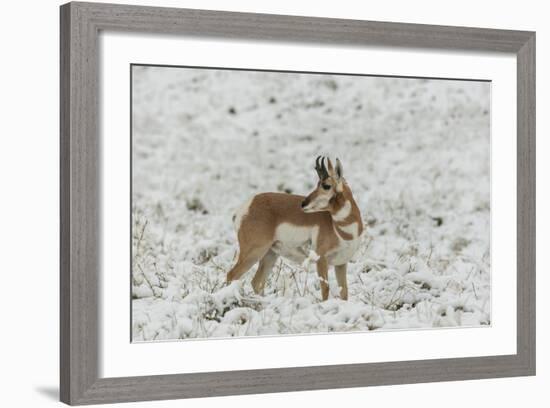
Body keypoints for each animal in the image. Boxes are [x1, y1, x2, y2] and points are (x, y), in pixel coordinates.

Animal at [226, 156, 364, 300]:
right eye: (318, 184)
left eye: (326, 186)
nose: (303, 204)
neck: (344, 229)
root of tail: (245, 208)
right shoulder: (321, 259)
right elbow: (325, 289)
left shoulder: (341, 264)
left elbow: (344, 292)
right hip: (254, 252)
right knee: (231, 275)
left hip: (270, 254)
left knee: (256, 282)